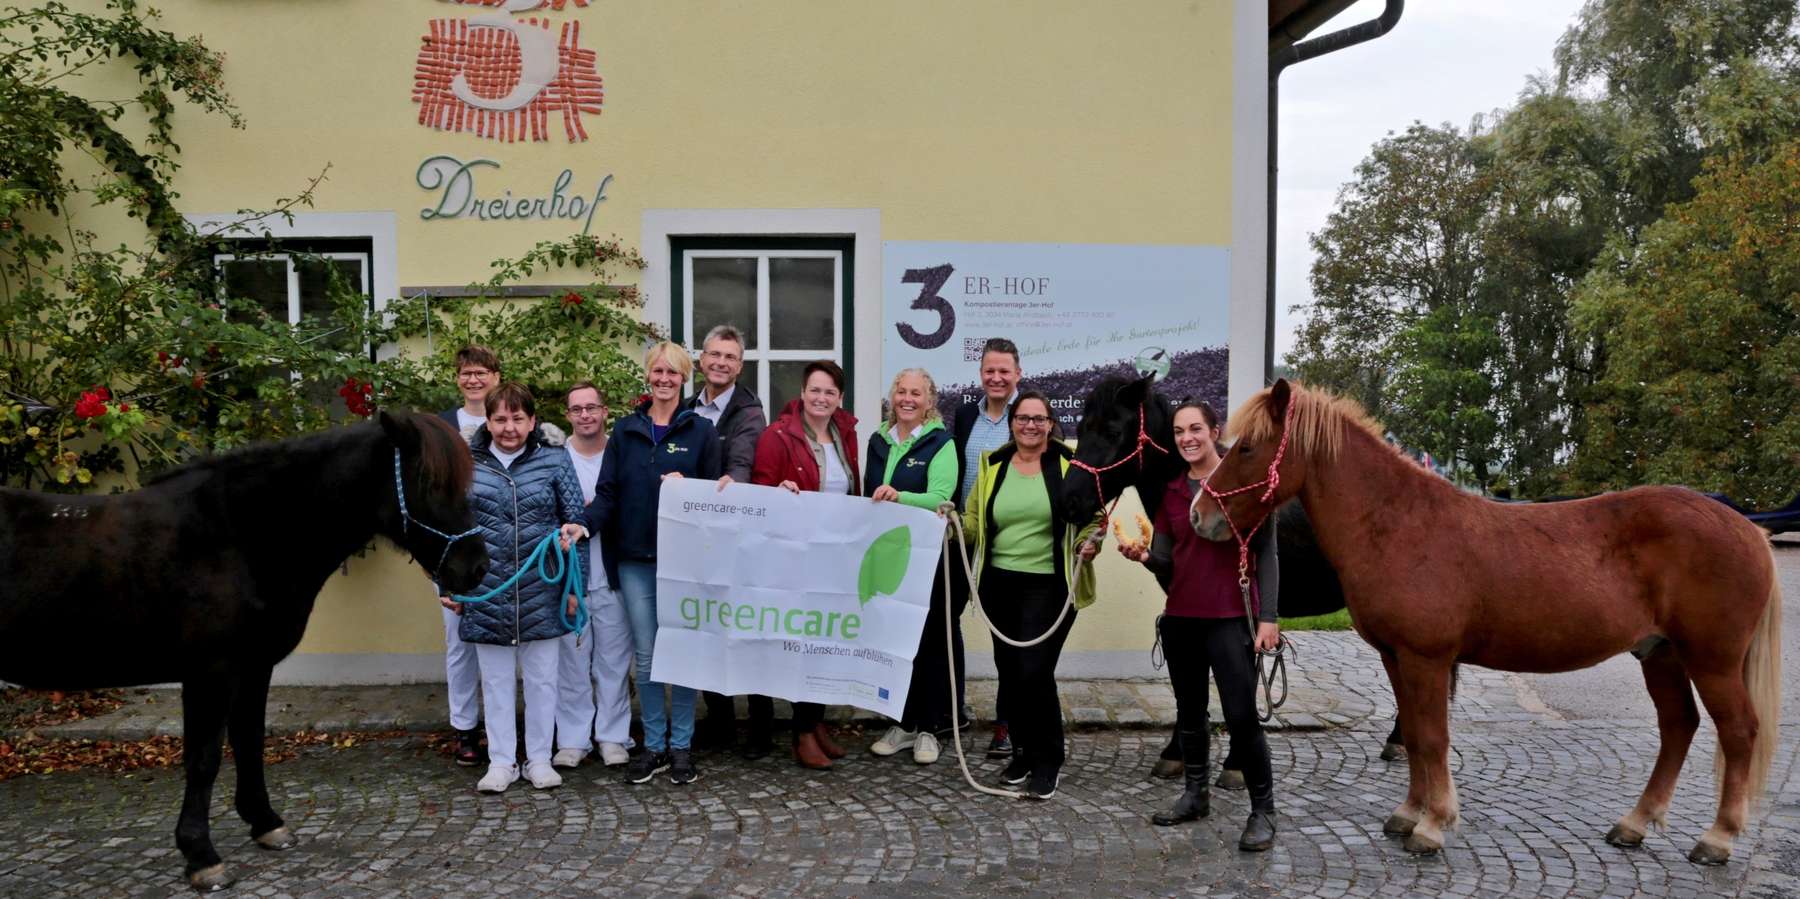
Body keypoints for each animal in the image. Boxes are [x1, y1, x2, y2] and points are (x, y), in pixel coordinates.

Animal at [0, 412, 489, 889]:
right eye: (429, 481)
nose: (477, 567)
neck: (237, 536)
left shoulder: (254, 666)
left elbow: (250, 740)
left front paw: (265, 822)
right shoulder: (210, 672)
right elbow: (204, 759)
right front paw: (201, 857)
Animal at [1195, 380, 1785, 864]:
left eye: (1246, 448)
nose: (1201, 517)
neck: (1398, 523)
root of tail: (1749, 530)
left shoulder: (1427, 658)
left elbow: (1433, 737)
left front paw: (1432, 826)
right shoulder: (1395, 656)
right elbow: (1414, 733)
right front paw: (1407, 814)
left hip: (1712, 659)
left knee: (1738, 731)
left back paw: (1717, 839)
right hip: (1658, 653)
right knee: (1678, 726)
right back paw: (1634, 825)